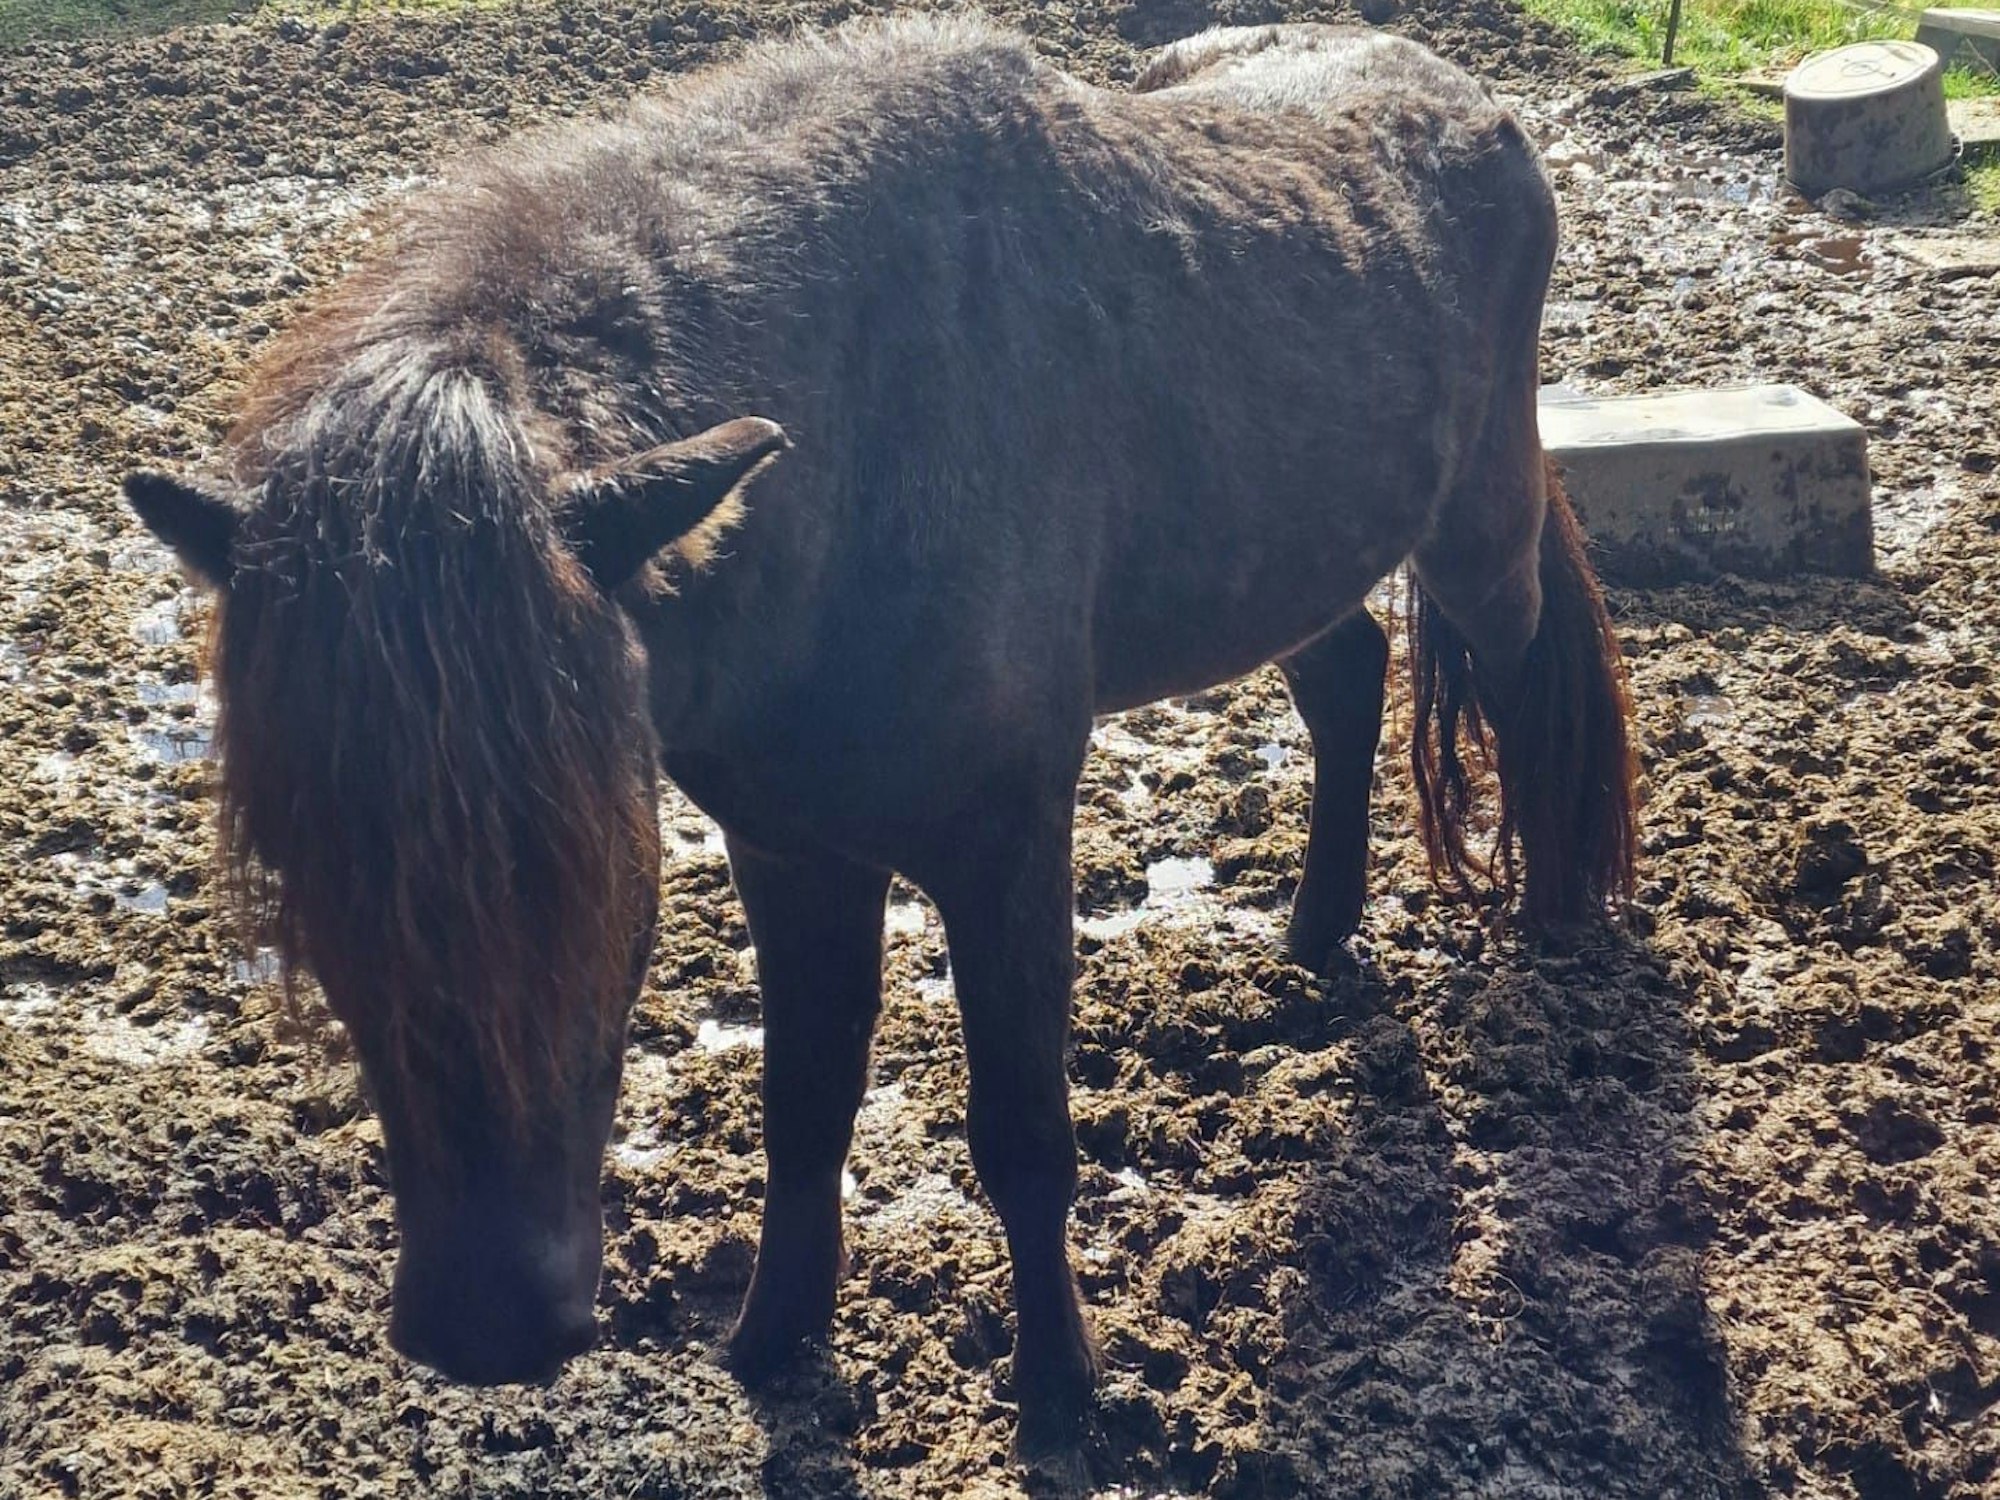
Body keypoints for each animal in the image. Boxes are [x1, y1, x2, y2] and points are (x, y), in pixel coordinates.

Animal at [124, 15, 1636, 1464]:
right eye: (306, 861)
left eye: (597, 864)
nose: (490, 1323)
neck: (861, 460)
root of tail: (1464, 94)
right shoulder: (791, 851)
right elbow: (803, 1109)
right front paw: (771, 1345)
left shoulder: (1006, 841)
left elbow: (1022, 1135)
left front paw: (1061, 1396)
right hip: (1280, 561)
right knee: (1347, 672)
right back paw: (1313, 939)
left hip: (1477, 528)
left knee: (1522, 678)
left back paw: (1554, 935)